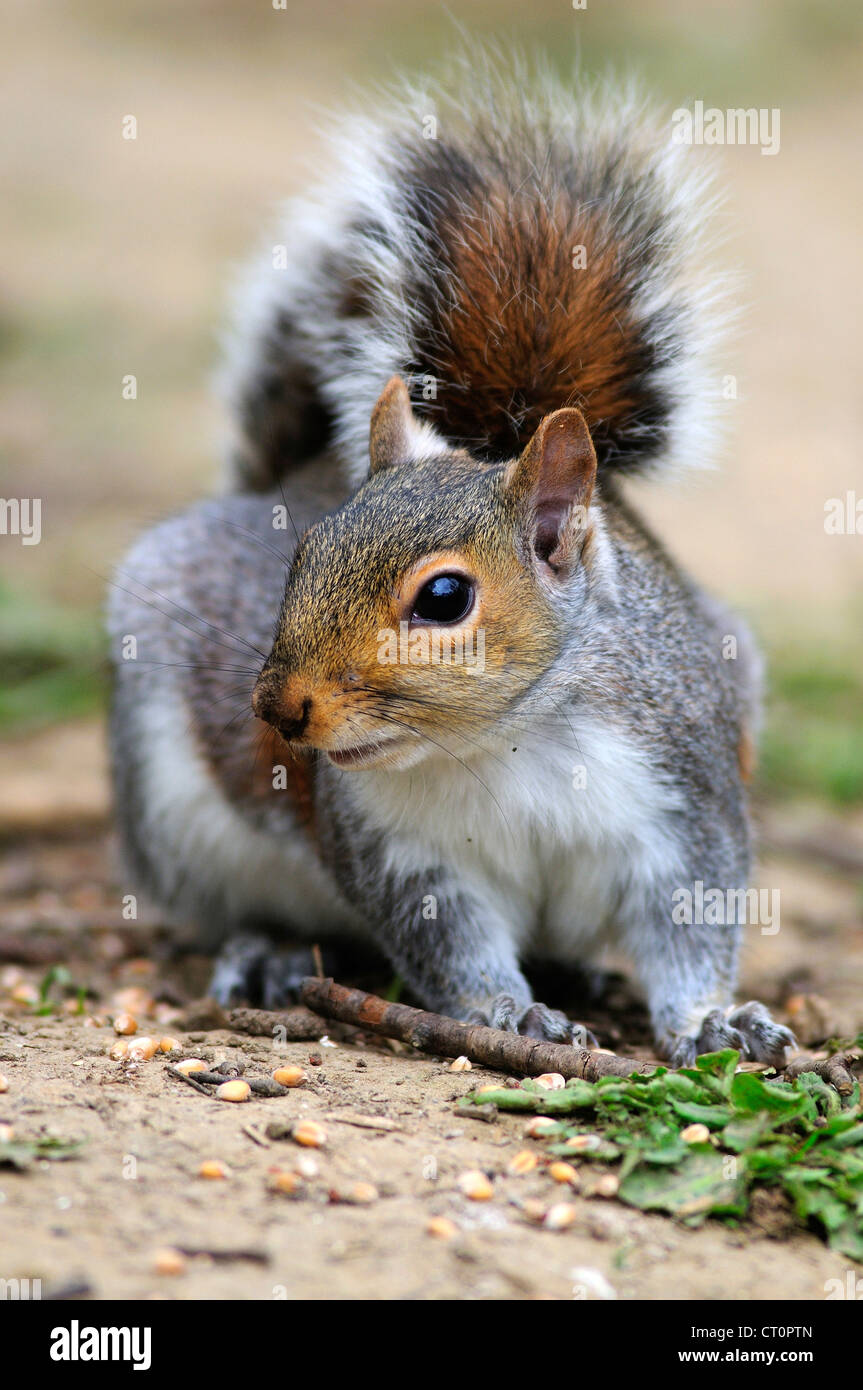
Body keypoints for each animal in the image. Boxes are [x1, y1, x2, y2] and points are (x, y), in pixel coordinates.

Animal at [107, 56, 794, 1061]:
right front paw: (512, 1016)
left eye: (442, 599)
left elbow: (689, 928)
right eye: (300, 554)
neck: (505, 741)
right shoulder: (402, 855)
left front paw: (714, 1018)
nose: (276, 710)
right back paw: (269, 951)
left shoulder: (684, 801)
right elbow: (451, 949)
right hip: (175, 806)